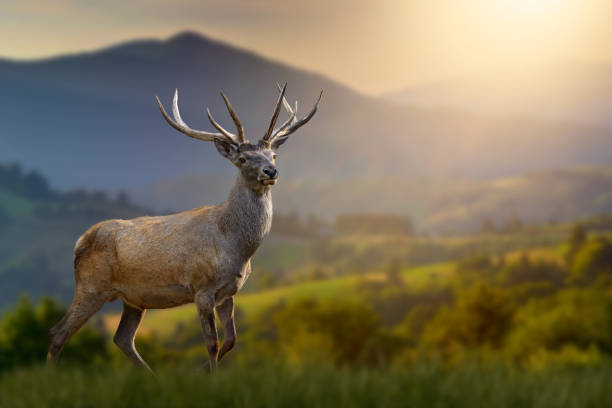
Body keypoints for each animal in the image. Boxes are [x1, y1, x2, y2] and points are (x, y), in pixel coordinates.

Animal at [46, 83, 322, 372]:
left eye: (273, 154)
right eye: (244, 158)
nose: (271, 171)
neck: (235, 247)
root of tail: (80, 241)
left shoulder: (228, 292)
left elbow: (231, 340)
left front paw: (200, 372)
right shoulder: (202, 288)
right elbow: (212, 343)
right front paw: (210, 376)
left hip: (132, 298)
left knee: (122, 338)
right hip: (91, 286)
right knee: (58, 333)